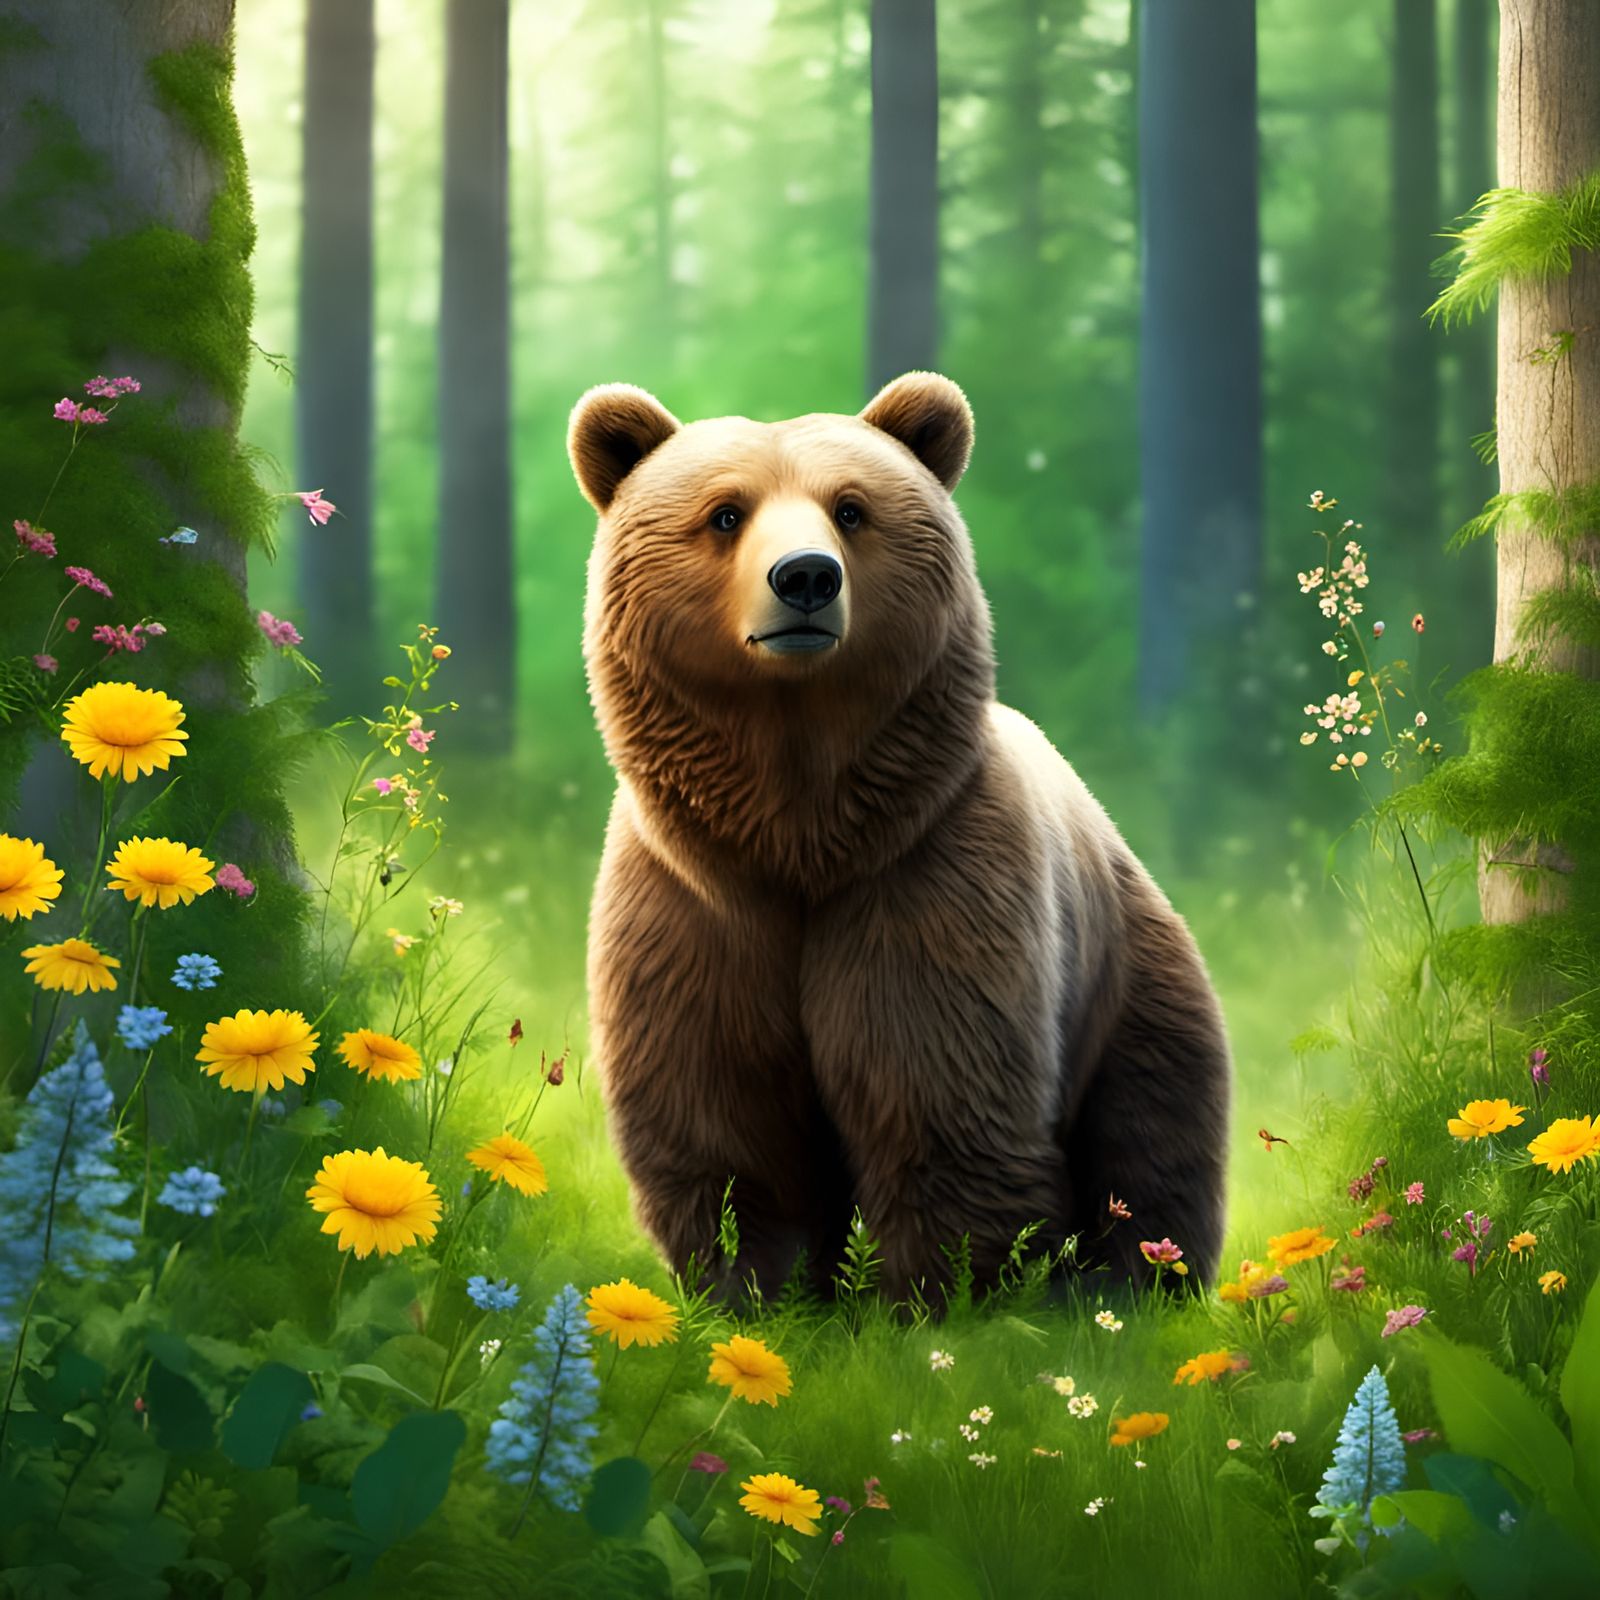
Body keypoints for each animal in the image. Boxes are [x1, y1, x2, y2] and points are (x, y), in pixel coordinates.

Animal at [569, 371, 1231, 1302]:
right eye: (725, 513)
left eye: (850, 509)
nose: (805, 577)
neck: (798, 832)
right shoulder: (691, 906)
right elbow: (725, 1125)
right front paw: (754, 1287)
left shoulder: (934, 881)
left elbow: (936, 1097)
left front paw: (936, 1295)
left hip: (1131, 980)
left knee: (1148, 1136)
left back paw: (1131, 1283)